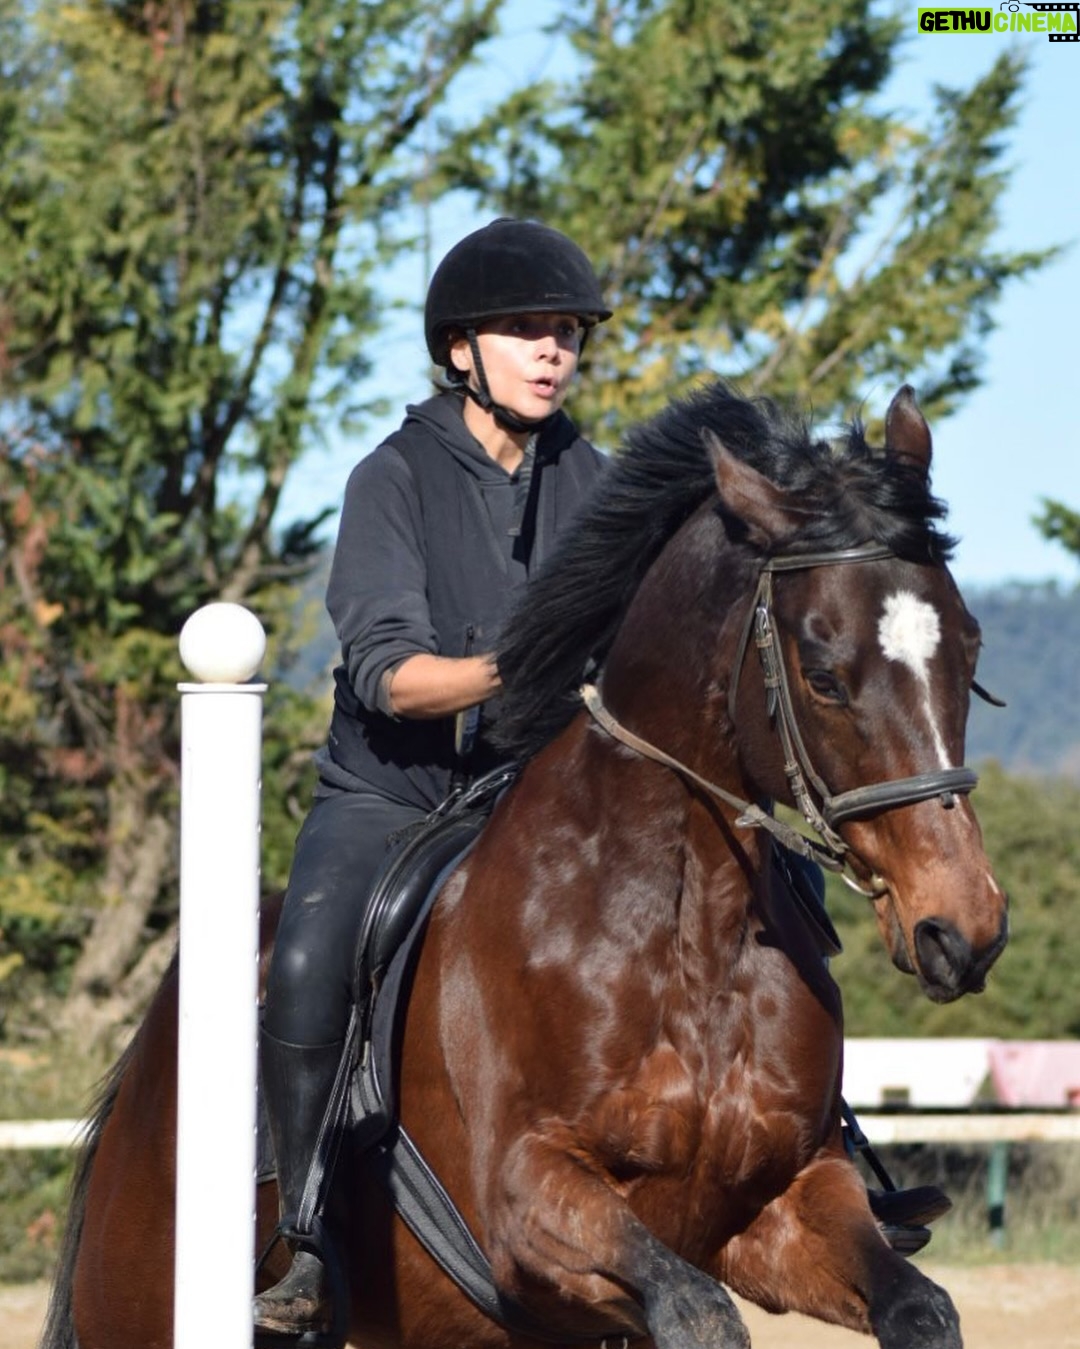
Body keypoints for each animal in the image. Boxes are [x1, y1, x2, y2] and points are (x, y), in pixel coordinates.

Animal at [43, 380, 1008, 1349]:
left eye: (969, 648)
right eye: (823, 673)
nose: (964, 929)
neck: (688, 925)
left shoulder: (782, 1201)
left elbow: (920, 1306)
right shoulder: (527, 1208)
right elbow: (698, 1311)